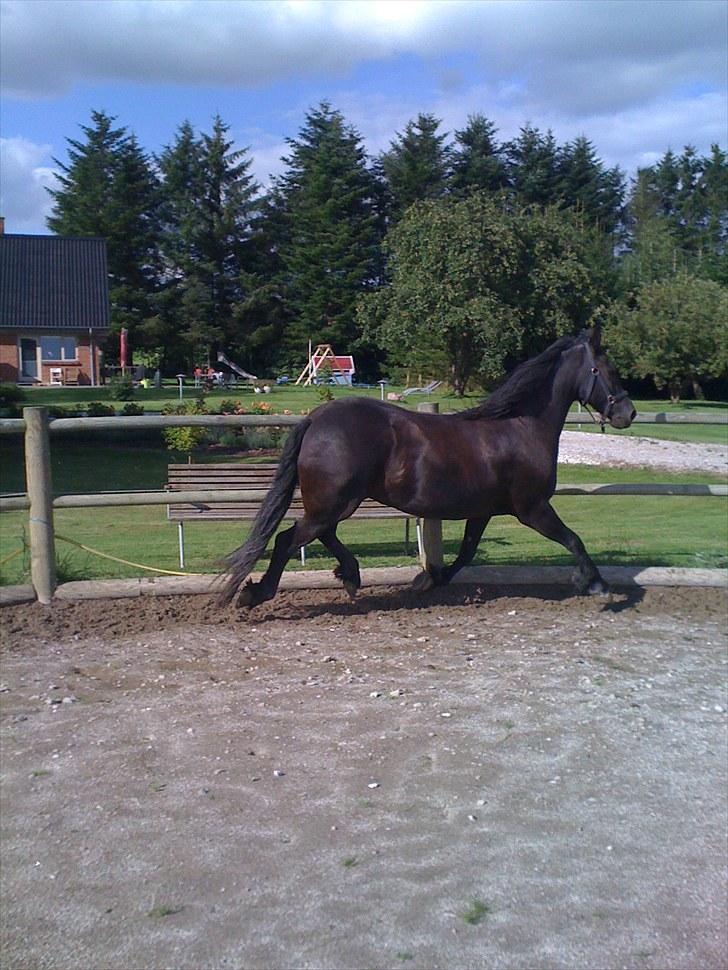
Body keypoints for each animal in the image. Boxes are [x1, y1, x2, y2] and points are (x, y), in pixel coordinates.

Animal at [219, 328, 636, 608]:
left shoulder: (483, 512)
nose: (627, 413)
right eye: (604, 369)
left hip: (336, 503)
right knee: (289, 539)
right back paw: (256, 593)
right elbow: (574, 540)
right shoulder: (532, 508)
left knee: (321, 535)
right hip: (333, 502)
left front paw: (428, 579)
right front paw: (596, 584)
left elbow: (466, 554)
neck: (520, 427)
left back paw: (351, 576)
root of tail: (316, 417)